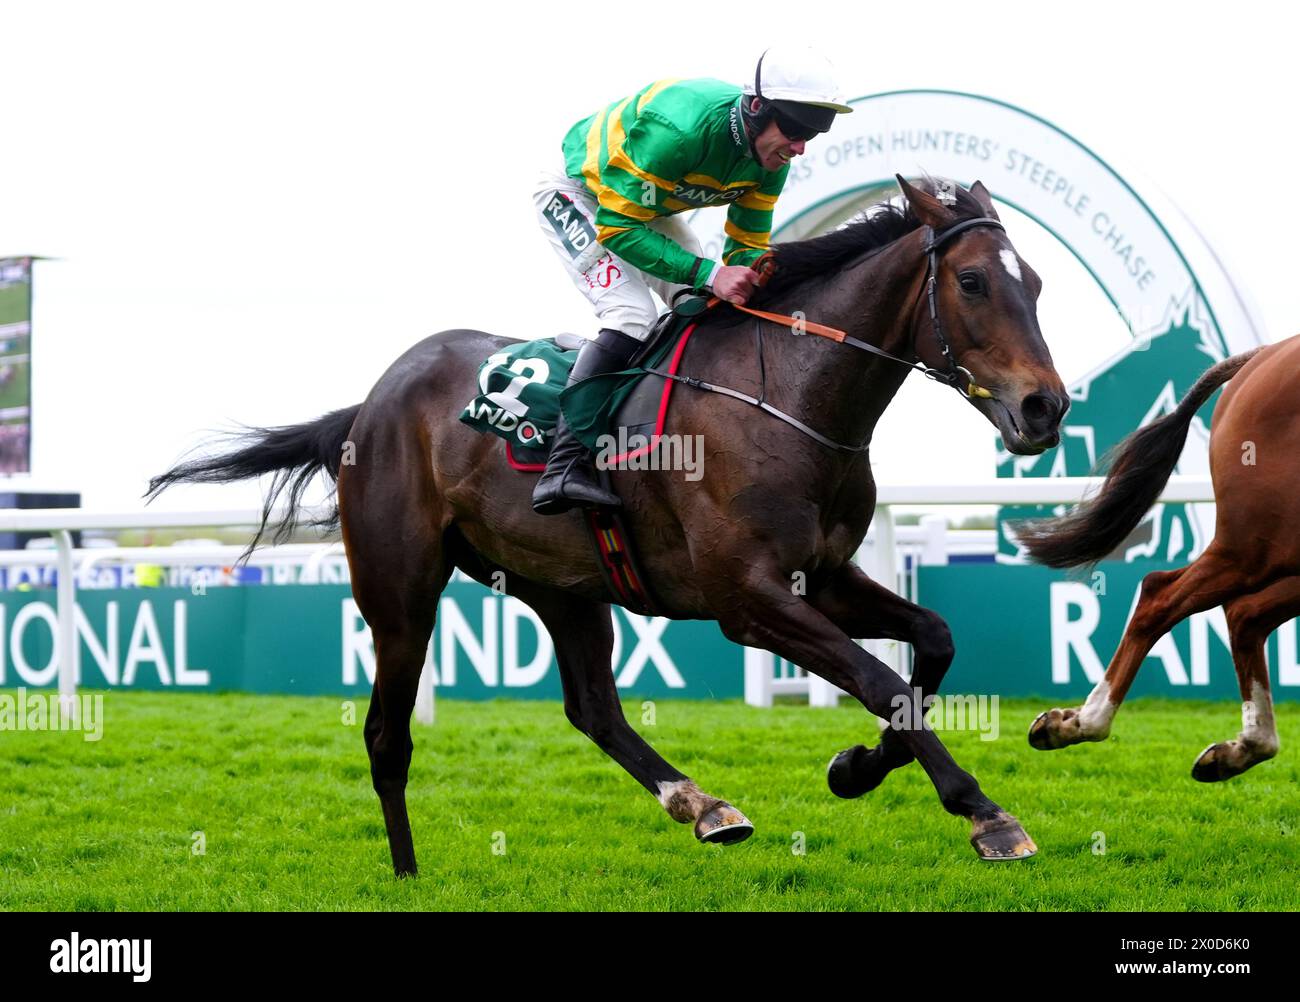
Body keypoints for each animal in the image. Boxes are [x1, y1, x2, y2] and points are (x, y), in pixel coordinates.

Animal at [152, 176, 1066, 873]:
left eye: (1036, 284)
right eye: (975, 282)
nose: (1045, 408)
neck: (788, 395)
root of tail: (370, 405)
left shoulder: (825, 576)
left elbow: (932, 643)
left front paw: (856, 767)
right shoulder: (748, 600)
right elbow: (880, 680)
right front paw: (983, 812)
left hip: (563, 586)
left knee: (592, 707)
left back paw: (703, 803)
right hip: (400, 593)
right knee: (386, 733)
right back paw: (407, 871)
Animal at [1019, 337, 1294, 784]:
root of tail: (1263, 355)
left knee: (1244, 614)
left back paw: (1244, 748)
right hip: (1254, 547)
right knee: (1162, 594)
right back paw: (1082, 722)